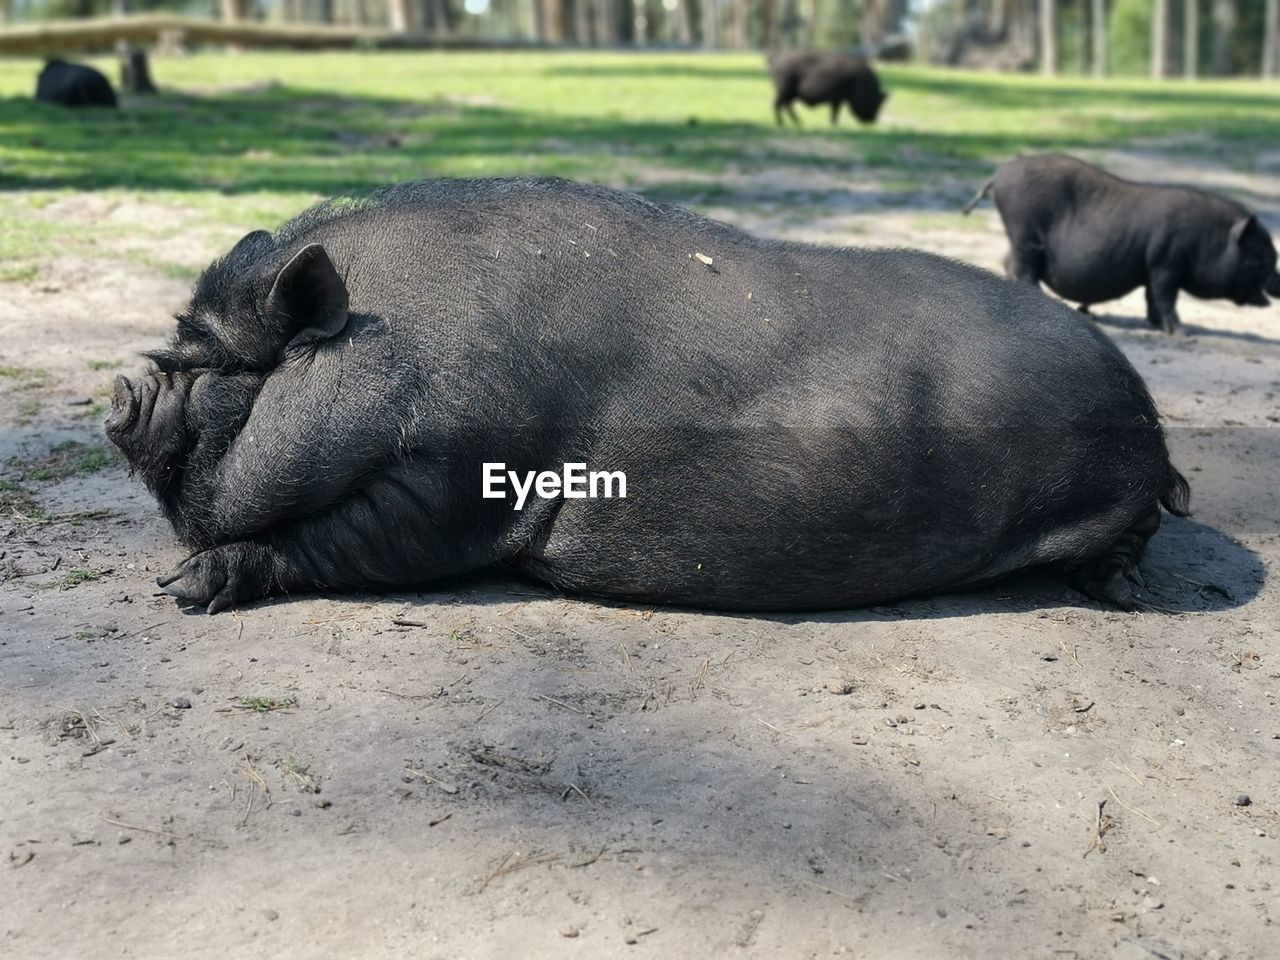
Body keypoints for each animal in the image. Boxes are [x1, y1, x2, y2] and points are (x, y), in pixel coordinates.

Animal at [107, 179, 1187, 616]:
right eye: (176, 345)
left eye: (222, 371)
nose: (122, 390)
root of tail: (1152, 423)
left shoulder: (458, 485)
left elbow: (337, 546)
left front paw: (185, 590)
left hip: (1116, 491)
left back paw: (1126, 597)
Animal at [962, 152, 1280, 335]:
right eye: (1259, 257)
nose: (1276, 284)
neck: (1208, 239)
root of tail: (997, 176)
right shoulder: (1166, 263)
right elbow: (1166, 297)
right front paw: (1181, 333)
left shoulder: (1155, 266)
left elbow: (1152, 297)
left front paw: (1156, 326)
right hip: (1024, 233)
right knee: (1024, 271)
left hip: (1020, 237)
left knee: (1009, 263)